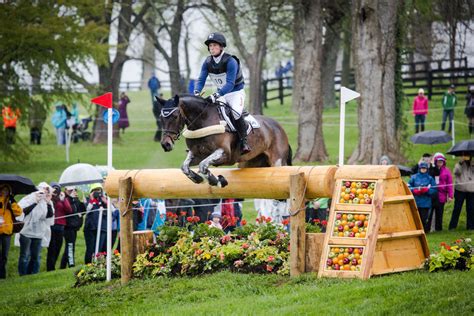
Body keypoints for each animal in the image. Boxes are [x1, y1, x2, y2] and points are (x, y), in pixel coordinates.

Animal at [157, 94, 290, 188]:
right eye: (160, 118)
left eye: (175, 116)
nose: (165, 144)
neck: (202, 122)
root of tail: (278, 125)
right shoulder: (197, 154)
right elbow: (185, 167)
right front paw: (198, 179)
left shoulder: (224, 153)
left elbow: (203, 165)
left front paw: (218, 181)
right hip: (249, 162)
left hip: (277, 161)